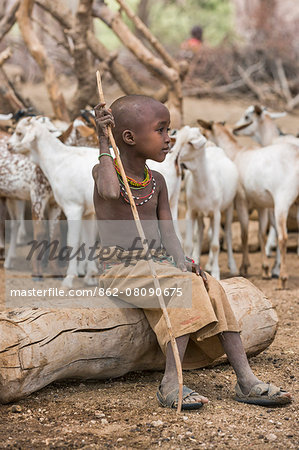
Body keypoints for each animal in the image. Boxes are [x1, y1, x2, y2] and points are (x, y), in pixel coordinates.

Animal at [8, 116, 98, 284]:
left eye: (19, 133)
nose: (8, 145)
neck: (60, 160)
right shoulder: (87, 212)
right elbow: (88, 241)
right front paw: (90, 277)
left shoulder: (73, 208)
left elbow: (72, 240)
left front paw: (69, 278)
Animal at [199, 119, 299, 288]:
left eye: (204, 133)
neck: (238, 153)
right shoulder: (262, 204)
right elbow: (261, 234)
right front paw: (265, 269)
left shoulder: (241, 200)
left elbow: (244, 233)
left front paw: (244, 267)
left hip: (282, 201)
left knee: (283, 237)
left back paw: (282, 278)